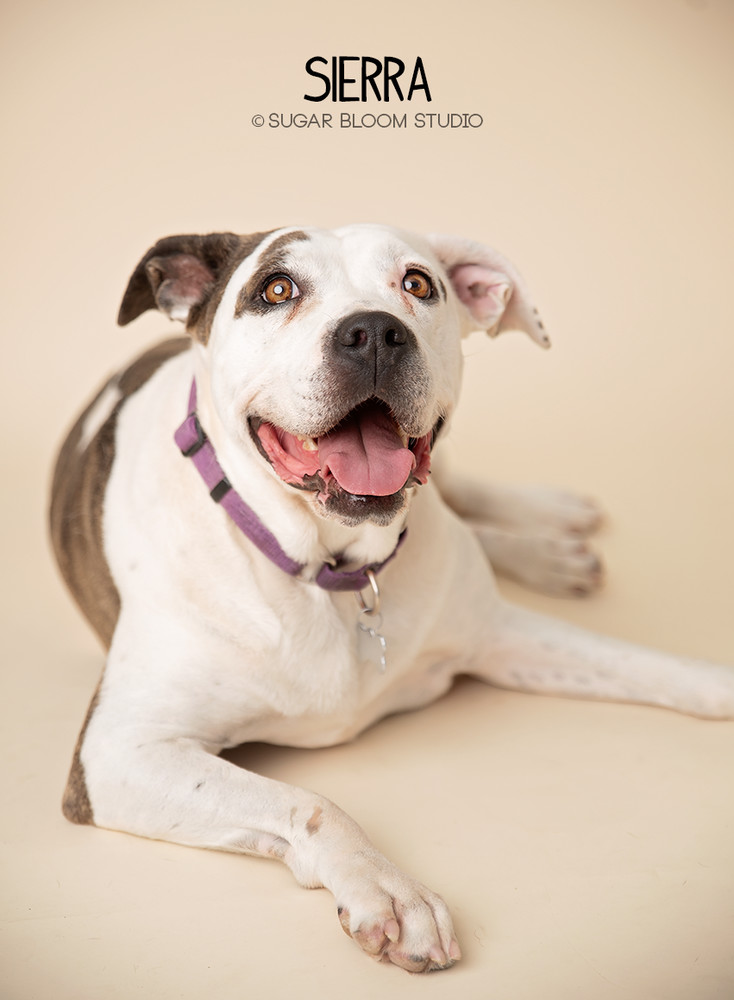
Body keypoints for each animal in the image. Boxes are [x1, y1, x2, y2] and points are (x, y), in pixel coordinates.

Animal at [49, 225, 732, 968]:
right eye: (276, 288)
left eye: (417, 283)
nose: (374, 331)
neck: (331, 571)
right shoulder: (120, 753)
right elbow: (312, 803)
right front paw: (391, 891)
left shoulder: (501, 632)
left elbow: (645, 662)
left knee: (467, 494)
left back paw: (552, 532)